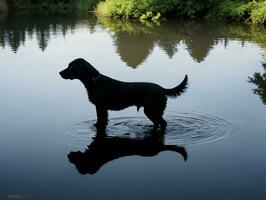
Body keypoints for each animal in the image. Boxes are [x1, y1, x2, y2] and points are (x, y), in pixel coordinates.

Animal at [59, 58, 188, 131]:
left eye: (71, 66)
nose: (60, 72)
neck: (95, 81)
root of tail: (162, 89)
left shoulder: (101, 107)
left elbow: (101, 121)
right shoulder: (100, 108)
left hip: (151, 110)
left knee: (163, 123)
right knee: (158, 123)